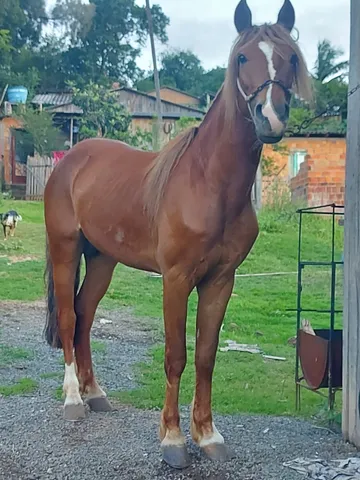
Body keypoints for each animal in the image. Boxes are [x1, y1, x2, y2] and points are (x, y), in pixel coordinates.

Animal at [43, 0, 310, 470]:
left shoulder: (221, 281)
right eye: (243, 58)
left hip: (103, 260)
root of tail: (69, 161)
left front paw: (208, 435)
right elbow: (175, 356)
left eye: (291, 58)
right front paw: (172, 440)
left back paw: (96, 394)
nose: (271, 117)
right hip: (65, 249)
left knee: (86, 316)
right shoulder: (176, 279)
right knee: (69, 317)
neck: (210, 184)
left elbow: (205, 357)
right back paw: (74, 398)